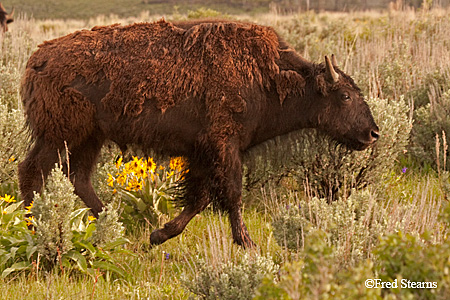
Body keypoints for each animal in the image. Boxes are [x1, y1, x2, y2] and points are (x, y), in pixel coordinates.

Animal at [17, 19, 378, 247]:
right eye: (344, 95)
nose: (373, 133)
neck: (268, 77)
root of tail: (36, 58)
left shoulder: (203, 152)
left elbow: (200, 198)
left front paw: (158, 235)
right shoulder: (224, 145)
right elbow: (231, 193)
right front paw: (247, 243)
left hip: (89, 138)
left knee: (78, 178)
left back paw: (113, 224)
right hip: (60, 136)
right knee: (31, 171)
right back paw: (33, 226)